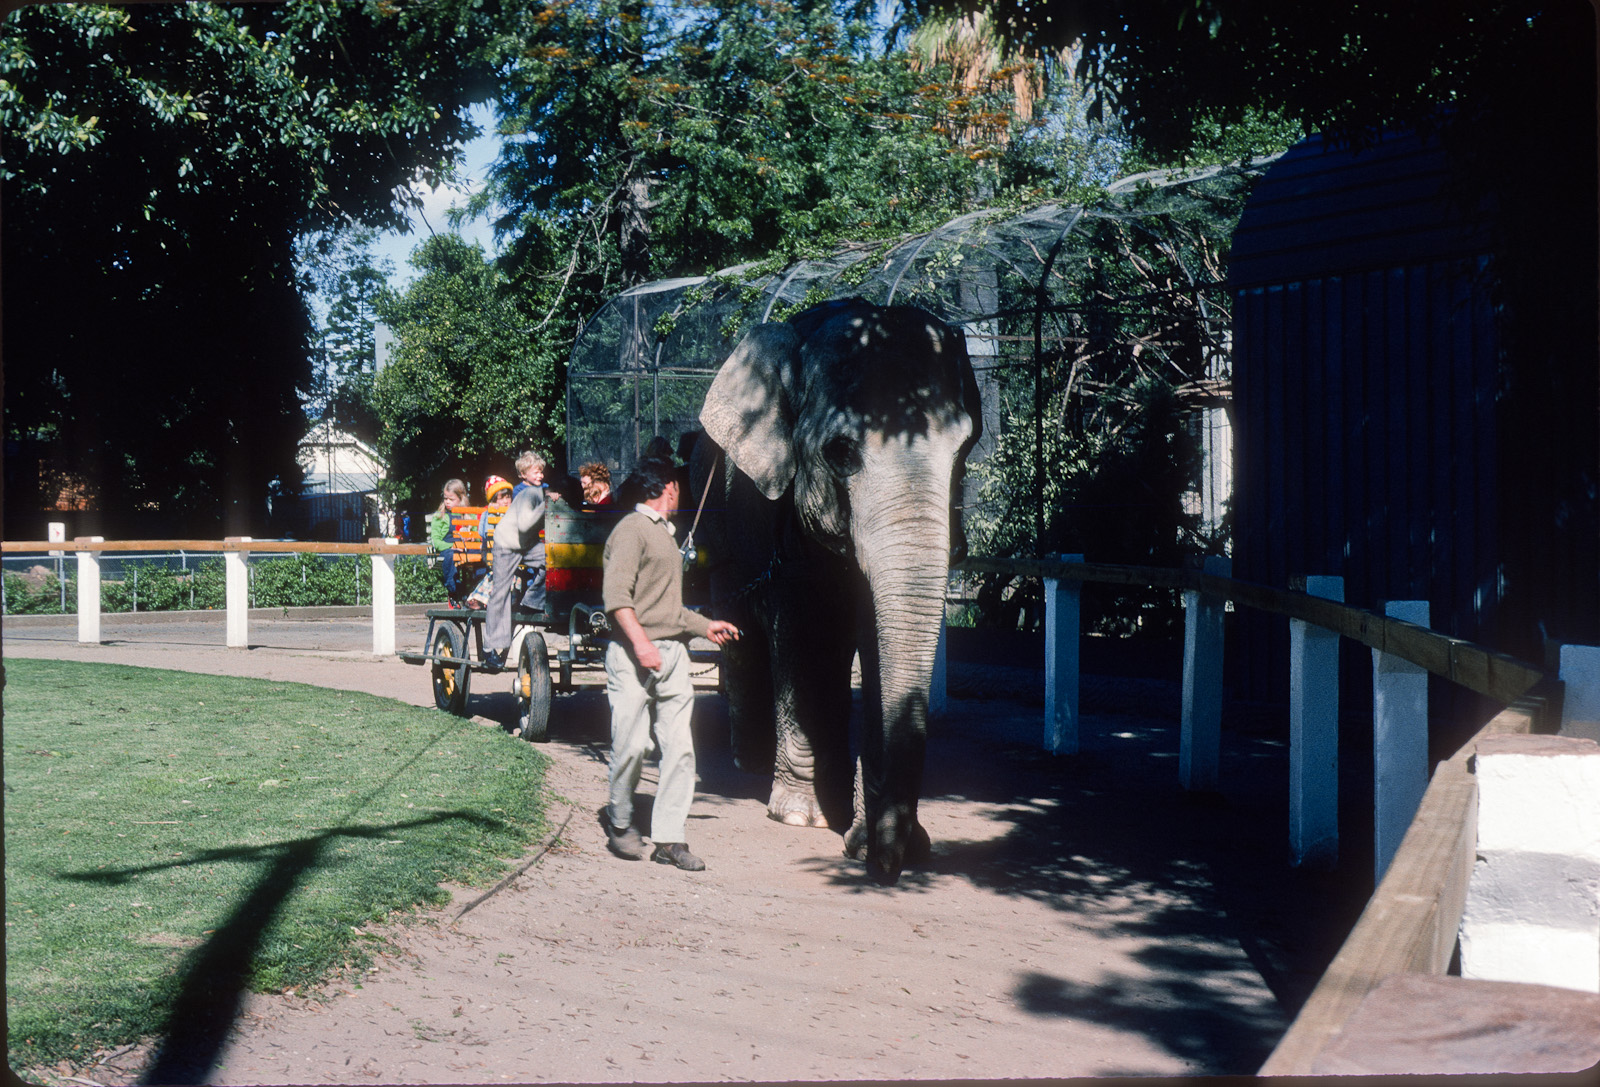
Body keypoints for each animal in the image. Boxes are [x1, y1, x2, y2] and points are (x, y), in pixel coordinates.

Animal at [692, 298, 981, 885]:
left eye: (965, 449)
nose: (877, 865)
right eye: (841, 452)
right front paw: (804, 818)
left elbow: (877, 638)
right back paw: (748, 762)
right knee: (741, 629)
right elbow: (804, 635)